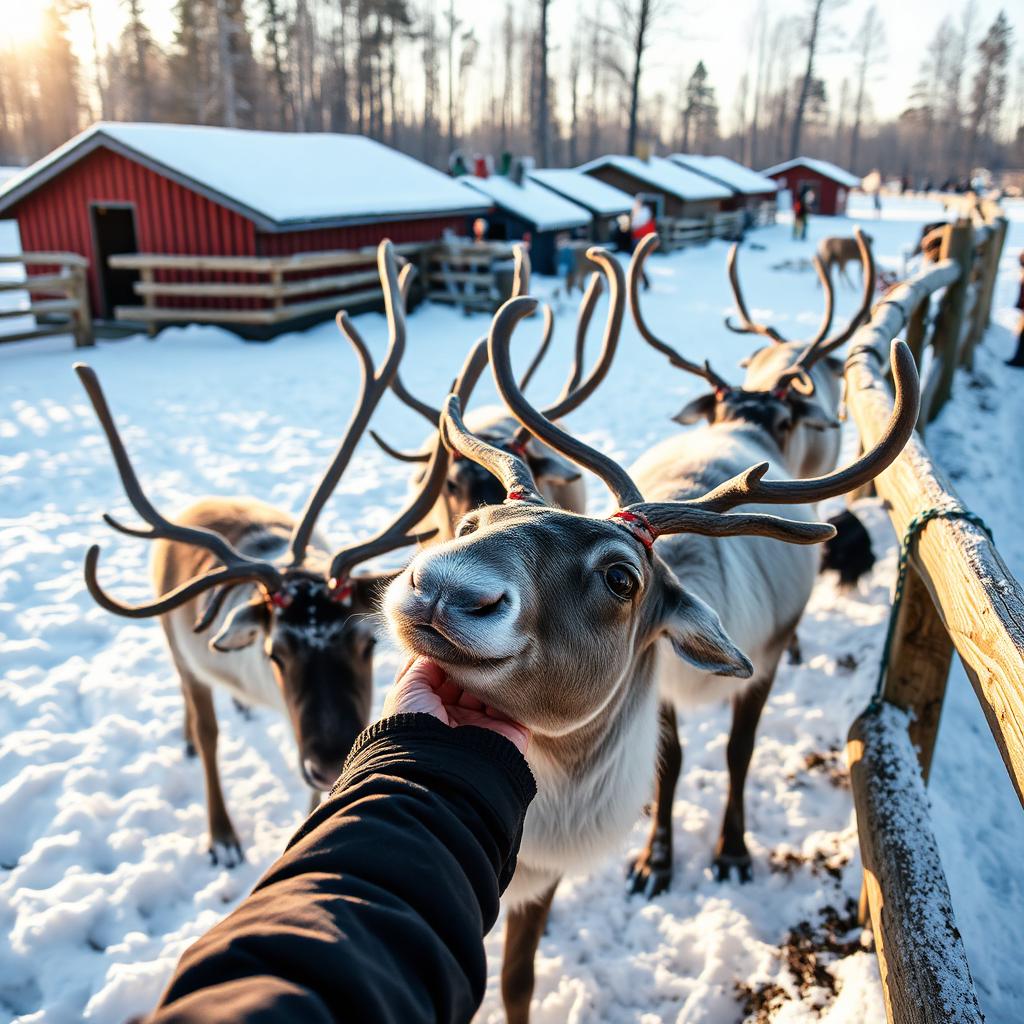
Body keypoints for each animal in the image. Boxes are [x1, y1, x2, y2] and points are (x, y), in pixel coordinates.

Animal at [75, 240, 489, 867]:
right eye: (276, 652)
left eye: (367, 643)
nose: (328, 759)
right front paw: (227, 837)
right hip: (174, 643)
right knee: (202, 720)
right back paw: (218, 819)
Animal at [380, 288, 920, 1023]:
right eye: (470, 523)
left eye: (622, 578)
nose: (442, 585)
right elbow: (672, 766)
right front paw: (653, 864)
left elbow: (733, 753)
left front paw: (727, 854)